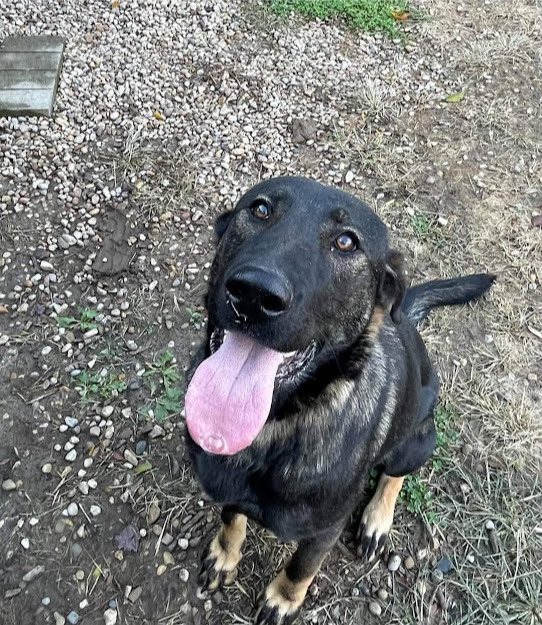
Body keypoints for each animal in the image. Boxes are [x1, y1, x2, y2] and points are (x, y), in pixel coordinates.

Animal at [184, 177, 498, 624]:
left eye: (346, 242)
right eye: (260, 210)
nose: (253, 294)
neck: (277, 426)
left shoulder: (323, 530)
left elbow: (301, 567)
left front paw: (283, 599)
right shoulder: (229, 491)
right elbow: (231, 519)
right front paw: (225, 555)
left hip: (417, 440)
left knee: (395, 474)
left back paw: (376, 519)